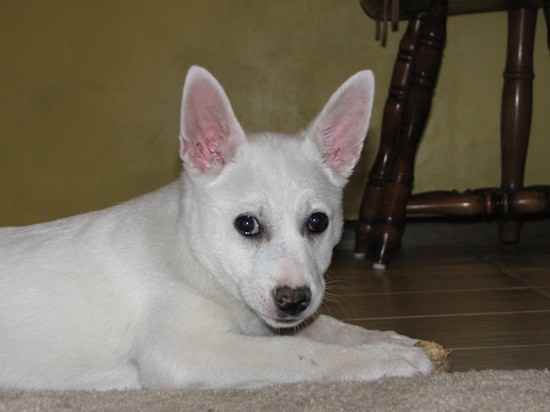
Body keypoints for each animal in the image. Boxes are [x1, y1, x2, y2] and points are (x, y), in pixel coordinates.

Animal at [0, 66, 434, 388]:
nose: (293, 300)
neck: (192, 257)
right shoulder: (185, 352)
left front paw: (383, 339)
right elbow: (298, 353)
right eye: (247, 225)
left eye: (317, 222)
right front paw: (387, 357)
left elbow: (323, 327)